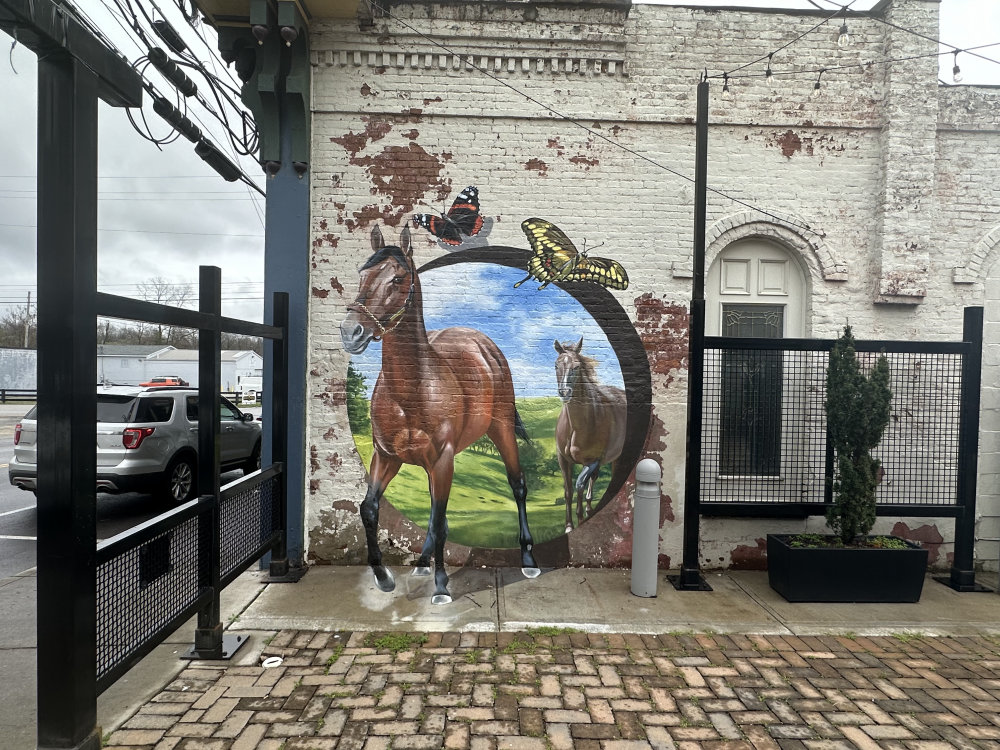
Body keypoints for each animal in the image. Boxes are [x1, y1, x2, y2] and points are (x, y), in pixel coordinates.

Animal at [556, 340, 624, 536]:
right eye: (556, 365)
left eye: (577, 366)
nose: (565, 392)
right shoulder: (563, 459)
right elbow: (568, 490)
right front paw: (569, 525)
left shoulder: (593, 460)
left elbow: (579, 484)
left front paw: (579, 520)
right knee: (593, 479)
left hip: (617, 458)